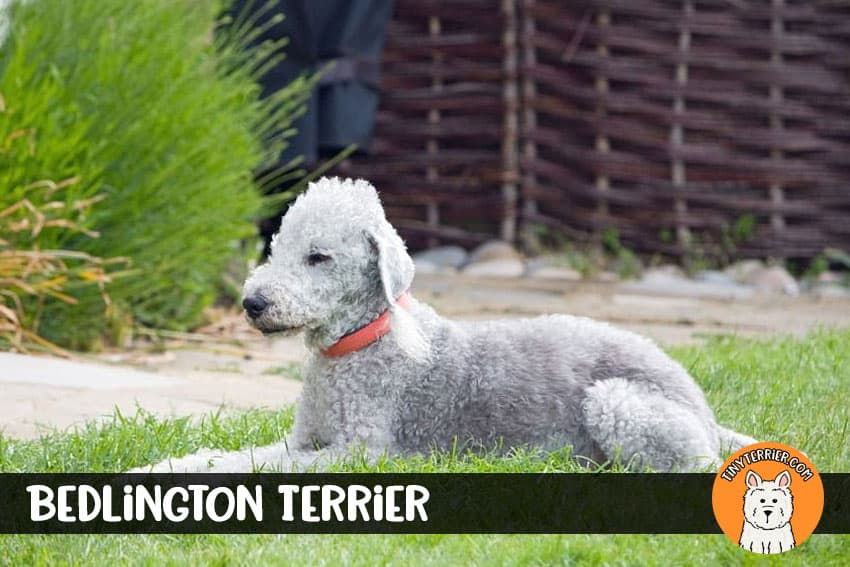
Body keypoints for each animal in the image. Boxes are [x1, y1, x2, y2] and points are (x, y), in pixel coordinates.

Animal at [134, 178, 756, 474]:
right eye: (276, 247)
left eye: (318, 257)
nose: (252, 302)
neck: (356, 345)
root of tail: (702, 405)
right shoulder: (304, 439)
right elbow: (235, 454)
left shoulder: (361, 452)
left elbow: (258, 465)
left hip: (618, 403)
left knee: (690, 464)